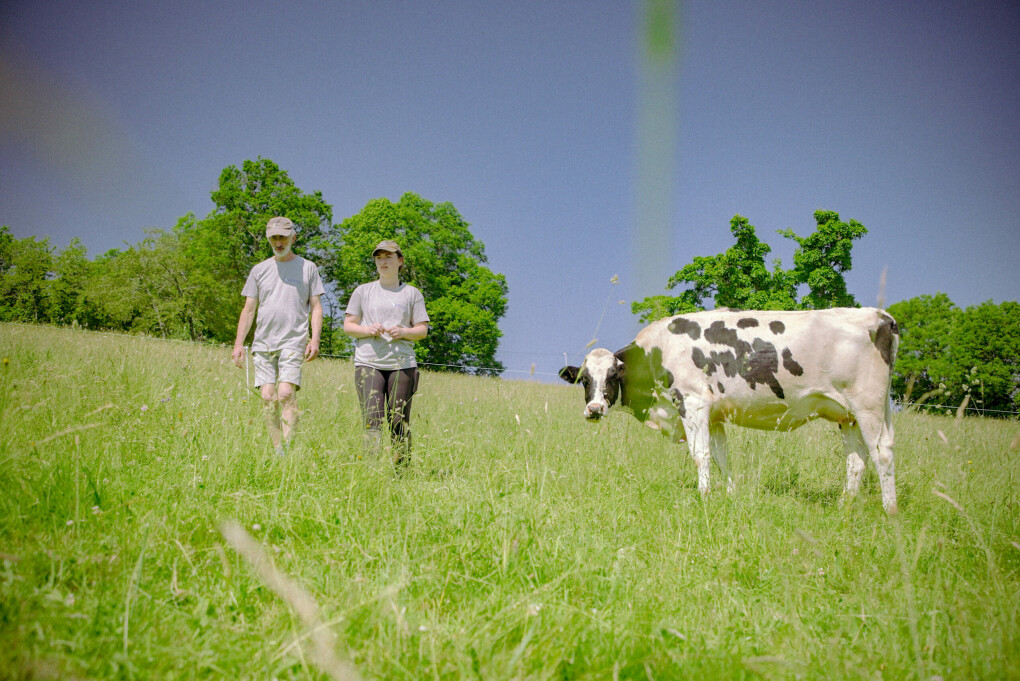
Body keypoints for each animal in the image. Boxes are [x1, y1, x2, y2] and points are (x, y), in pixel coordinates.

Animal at [558, 305, 901, 513]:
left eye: (613, 377)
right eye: (584, 380)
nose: (595, 409)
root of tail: (881, 316)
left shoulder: (693, 403)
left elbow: (701, 455)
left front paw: (704, 496)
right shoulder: (716, 416)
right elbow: (722, 457)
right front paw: (730, 495)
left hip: (868, 405)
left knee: (882, 453)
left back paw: (890, 510)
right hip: (849, 415)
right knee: (856, 461)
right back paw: (845, 506)